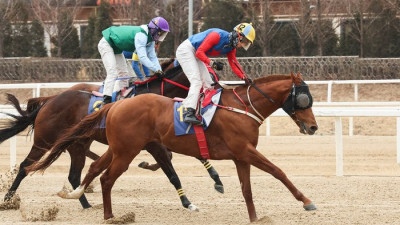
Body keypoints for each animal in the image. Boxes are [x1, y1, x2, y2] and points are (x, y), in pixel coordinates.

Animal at [0, 60, 222, 210]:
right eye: (212, 78)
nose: (217, 93)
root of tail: (49, 101)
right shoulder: (153, 143)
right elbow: (171, 168)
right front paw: (188, 200)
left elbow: (191, 156)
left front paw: (216, 180)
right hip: (44, 141)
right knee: (25, 166)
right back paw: (8, 200)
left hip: (77, 144)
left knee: (74, 174)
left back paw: (86, 204)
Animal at [28, 72, 318, 221]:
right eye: (304, 98)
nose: (313, 127)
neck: (242, 106)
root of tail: (116, 104)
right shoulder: (245, 150)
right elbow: (278, 171)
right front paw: (306, 201)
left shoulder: (241, 156)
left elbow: (247, 189)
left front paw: (255, 217)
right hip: (125, 151)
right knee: (107, 177)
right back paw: (110, 215)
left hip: (118, 148)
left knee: (95, 168)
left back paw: (77, 194)